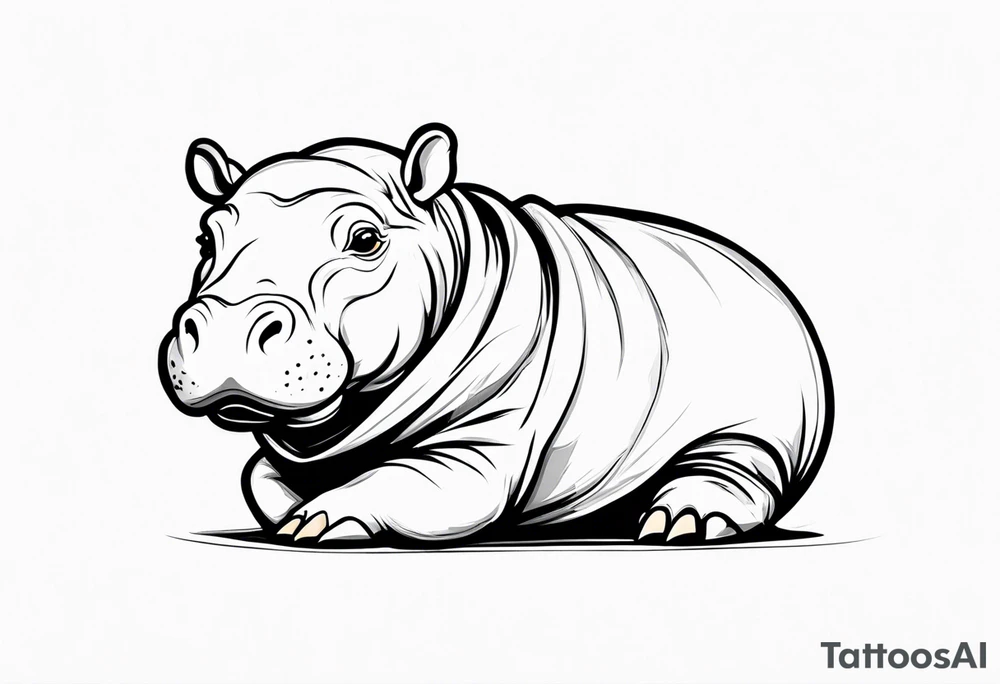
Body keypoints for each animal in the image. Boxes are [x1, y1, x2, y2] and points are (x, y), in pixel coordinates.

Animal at [159, 123, 833, 547]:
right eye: (205, 238)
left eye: (365, 239)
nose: (225, 330)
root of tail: (764, 275)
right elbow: (259, 478)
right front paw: (294, 512)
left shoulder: (486, 441)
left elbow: (411, 479)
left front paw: (319, 522)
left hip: (767, 399)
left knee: (741, 458)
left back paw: (681, 522)